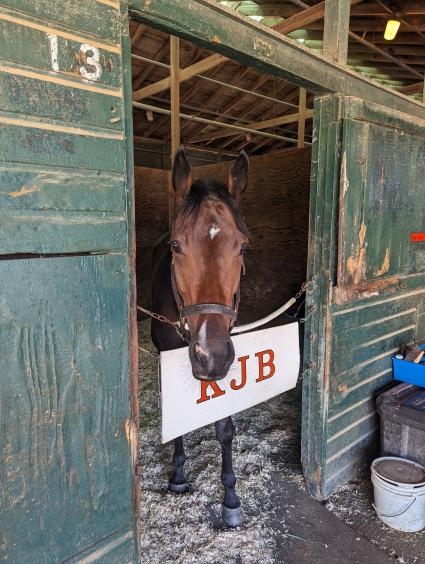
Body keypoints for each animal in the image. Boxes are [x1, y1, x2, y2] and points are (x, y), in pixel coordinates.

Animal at [151, 148, 248, 528]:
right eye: (177, 246)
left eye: (242, 247)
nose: (210, 355)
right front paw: (178, 476)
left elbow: (225, 428)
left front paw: (231, 498)